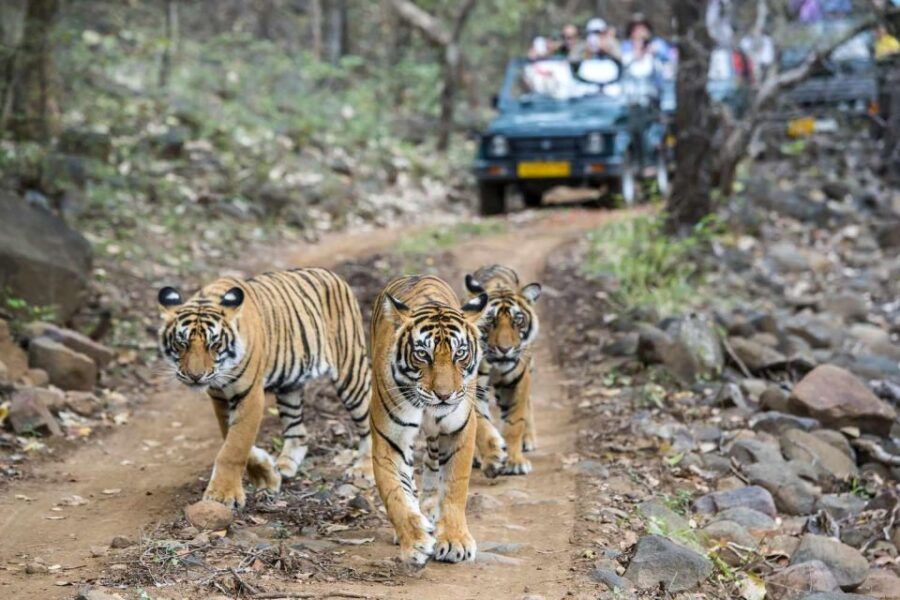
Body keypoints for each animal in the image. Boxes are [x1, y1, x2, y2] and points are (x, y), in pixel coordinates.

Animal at [157, 268, 372, 508]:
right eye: (181, 344)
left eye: (214, 344)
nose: (195, 376)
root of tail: (331, 274)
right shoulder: (220, 397)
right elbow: (230, 437)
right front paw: (267, 475)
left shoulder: (249, 395)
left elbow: (235, 446)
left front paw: (223, 495)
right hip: (290, 386)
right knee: (298, 431)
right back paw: (285, 466)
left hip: (351, 371)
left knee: (368, 421)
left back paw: (364, 468)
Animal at [369, 275, 488, 566]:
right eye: (423, 354)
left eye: (460, 353)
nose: (444, 395)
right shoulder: (390, 439)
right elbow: (396, 494)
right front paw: (415, 542)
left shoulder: (459, 430)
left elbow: (455, 487)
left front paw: (455, 541)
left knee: (433, 464)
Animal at [465, 264, 541, 476]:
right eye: (490, 321)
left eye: (518, 321)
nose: (505, 349)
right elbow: (481, 424)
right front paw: (493, 458)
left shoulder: (517, 381)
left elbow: (514, 422)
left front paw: (515, 462)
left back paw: (529, 439)